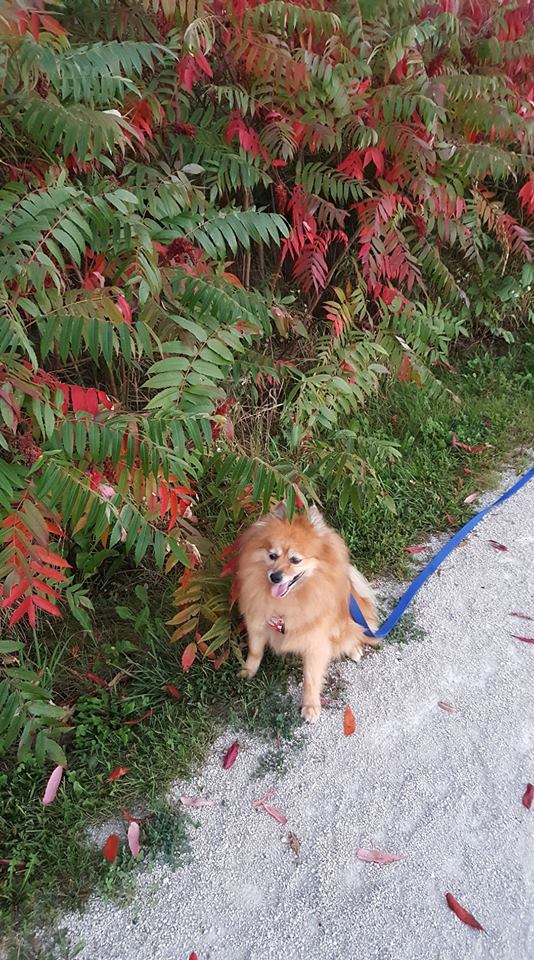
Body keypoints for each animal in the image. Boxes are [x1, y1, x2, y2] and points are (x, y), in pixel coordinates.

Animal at [239, 502, 382, 720]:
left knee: (354, 633)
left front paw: (311, 706)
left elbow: (311, 678)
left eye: (295, 560)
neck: (288, 600)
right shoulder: (257, 621)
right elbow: (255, 651)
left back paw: (354, 649)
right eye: (272, 556)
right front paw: (247, 671)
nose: (275, 576)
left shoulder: (316, 642)